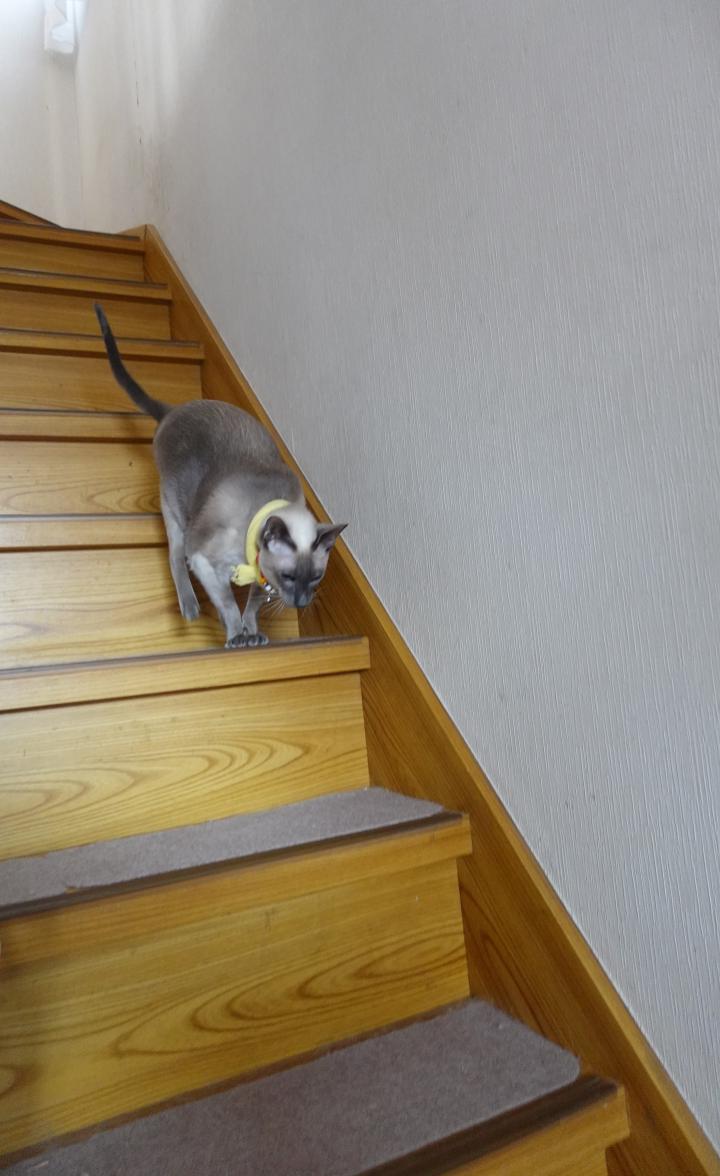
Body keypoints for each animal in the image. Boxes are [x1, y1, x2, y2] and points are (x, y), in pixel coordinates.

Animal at [95, 304, 346, 648]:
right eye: (290, 577)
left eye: (316, 577)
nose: (301, 603)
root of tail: (174, 410)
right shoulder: (202, 558)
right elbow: (228, 602)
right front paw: (237, 636)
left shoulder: (260, 577)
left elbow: (252, 603)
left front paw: (252, 633)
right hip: (176, 515)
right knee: (175, 557)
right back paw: (190, 608)